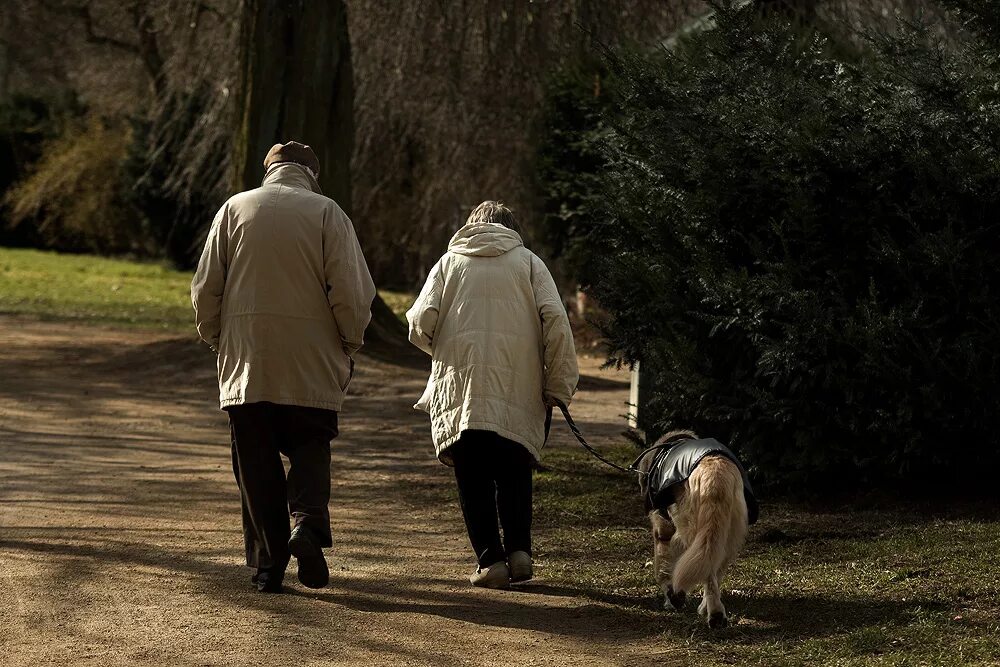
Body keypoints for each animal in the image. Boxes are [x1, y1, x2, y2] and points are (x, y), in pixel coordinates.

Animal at [636, 430, 752, 628]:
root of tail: (715, 472)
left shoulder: (662, 529)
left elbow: (663, 567)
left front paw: (673, 598)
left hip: (693, 531)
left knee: (708, 574)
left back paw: (715, 615)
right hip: (728, 534)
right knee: (714, 568)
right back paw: (708, 608)